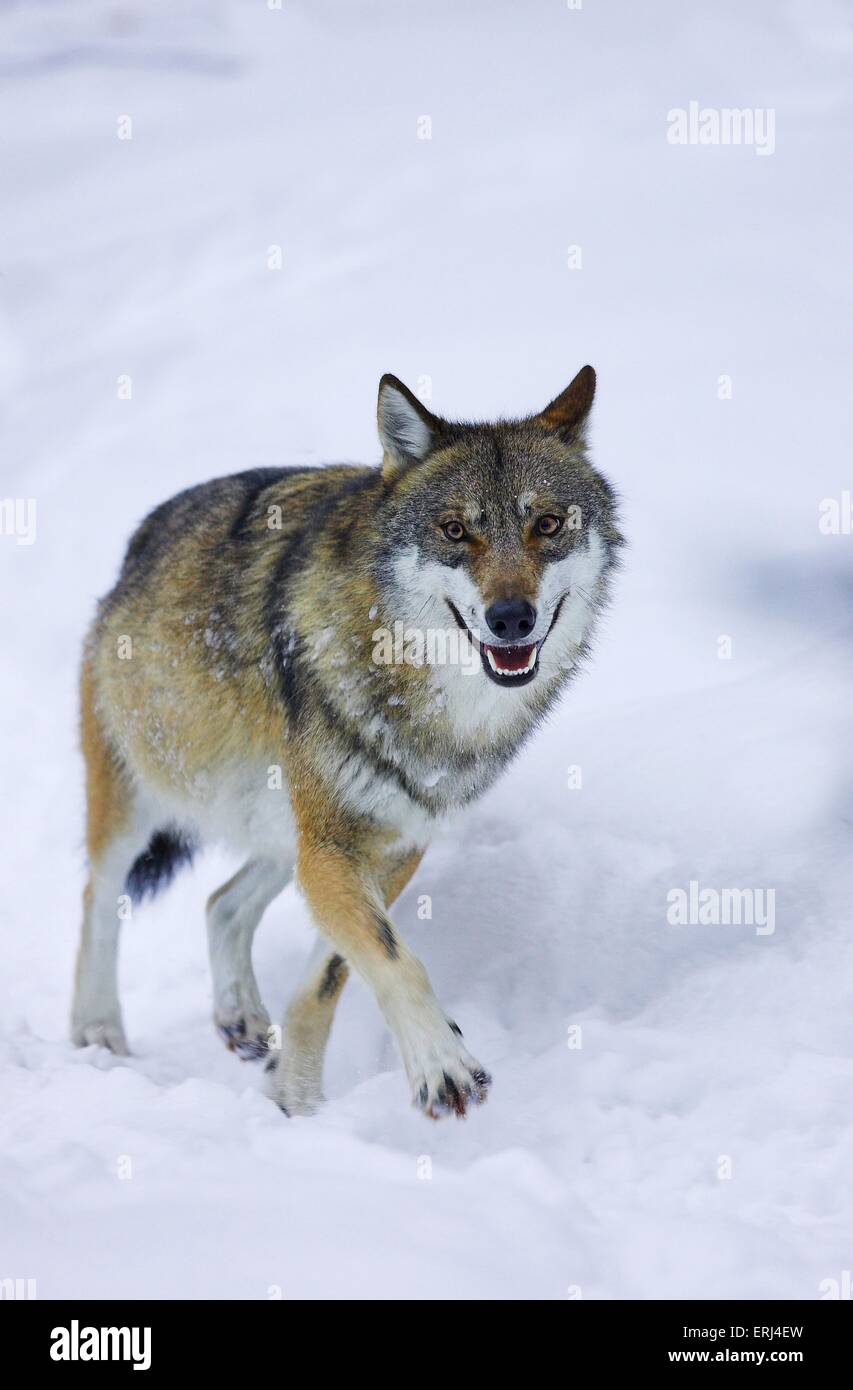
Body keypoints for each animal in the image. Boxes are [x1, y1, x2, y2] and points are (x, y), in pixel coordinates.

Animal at [72, 365, 622, 1118]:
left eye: (546, 524)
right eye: (455, 530)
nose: (511, 618)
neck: (435, 704)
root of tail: (142, 537)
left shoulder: (391, 845)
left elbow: (331, 973)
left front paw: (296, 1098)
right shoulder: (334, 848)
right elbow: (392, 957)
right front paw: (441, 1065)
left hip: (281, 828)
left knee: (221, 903)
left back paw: (240, 1018)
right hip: (142, 797)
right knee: (99, 896)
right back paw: (97, 1030)